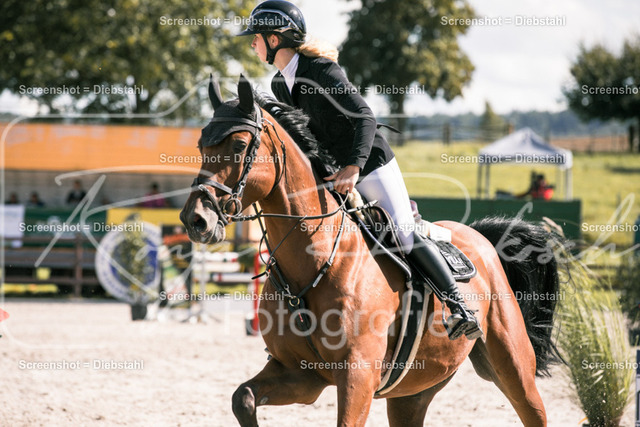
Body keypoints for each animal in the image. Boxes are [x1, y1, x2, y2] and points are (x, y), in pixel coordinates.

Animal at [180, 75, 562, 426]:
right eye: (200, 144)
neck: (315, 263)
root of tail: (481, 236)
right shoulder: (301, 375)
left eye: (240, 144)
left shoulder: (357, 376)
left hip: (513, 367)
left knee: (532, 408)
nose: (195, 219)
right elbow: (242, 398)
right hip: (413, 391)